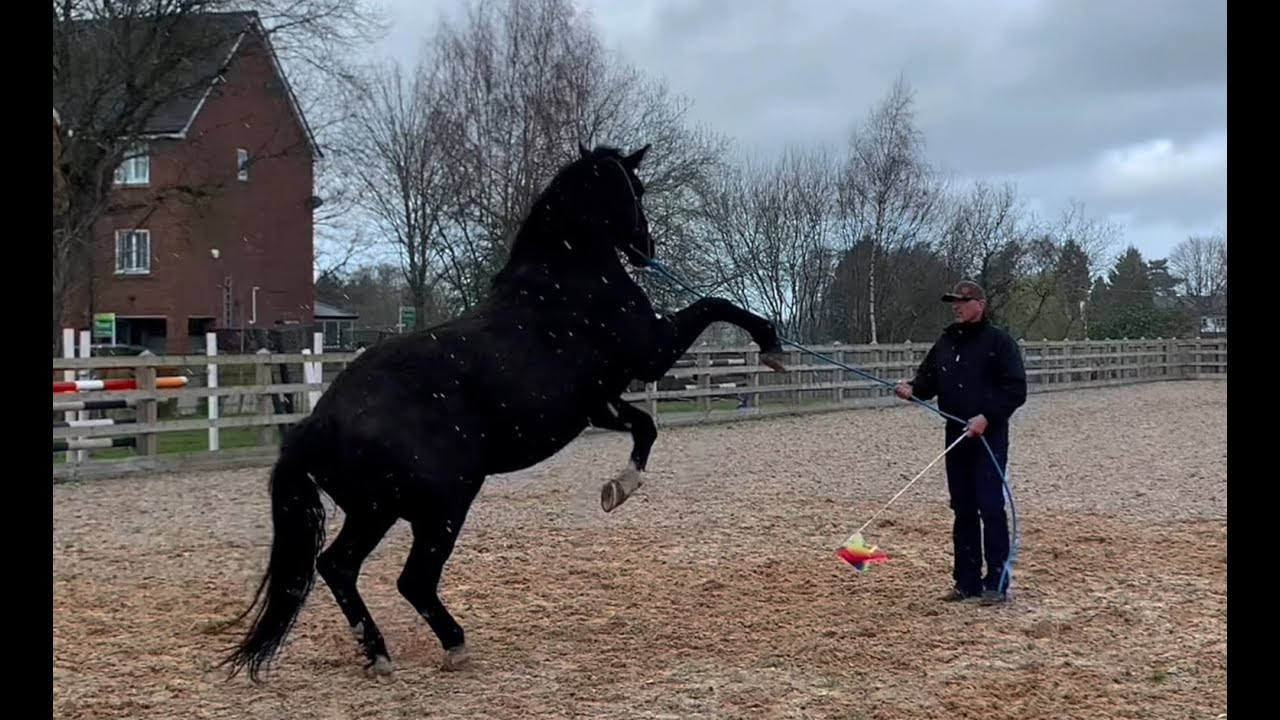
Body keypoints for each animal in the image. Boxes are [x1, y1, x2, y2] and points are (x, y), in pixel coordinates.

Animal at [218, 142, 790, 682]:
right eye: (638, 188)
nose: (645, 248)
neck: (568, 274)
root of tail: (319, 422)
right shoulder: (654, 351)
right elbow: (715, 305)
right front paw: (771, 344)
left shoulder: (598, 405)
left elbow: (645, 426)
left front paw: (618, 489)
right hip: (441, 505)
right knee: (411, 579)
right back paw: (453, 646)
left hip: (375, 511)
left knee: (336, 567)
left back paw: (378, 655)